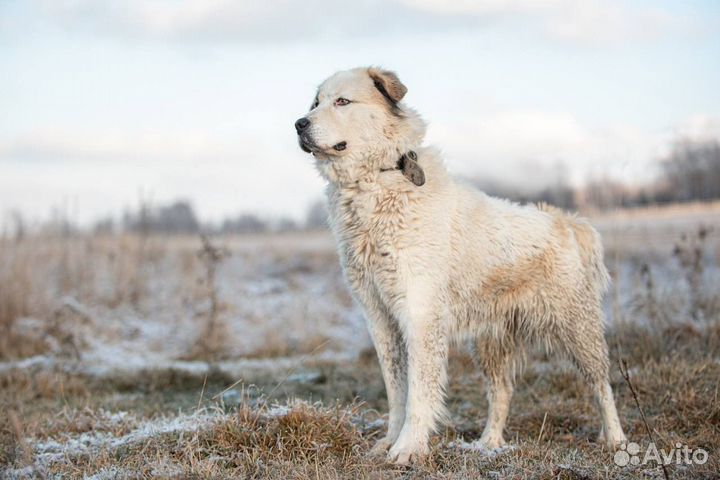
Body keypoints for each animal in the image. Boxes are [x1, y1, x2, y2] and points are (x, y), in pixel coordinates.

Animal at [296, 67, 628, 464]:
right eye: (315, 103)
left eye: (342, 101)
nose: (299, 124)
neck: (376, 179)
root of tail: (565, 221)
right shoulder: (379, 317)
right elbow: (396, 390)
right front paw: (388, 442)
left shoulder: (419, 314)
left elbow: (419, 391)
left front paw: (408, 448)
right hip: (491, 342)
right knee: (501, 391)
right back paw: (488, 443)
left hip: (576, 327)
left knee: (601, 383)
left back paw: (616, 440)